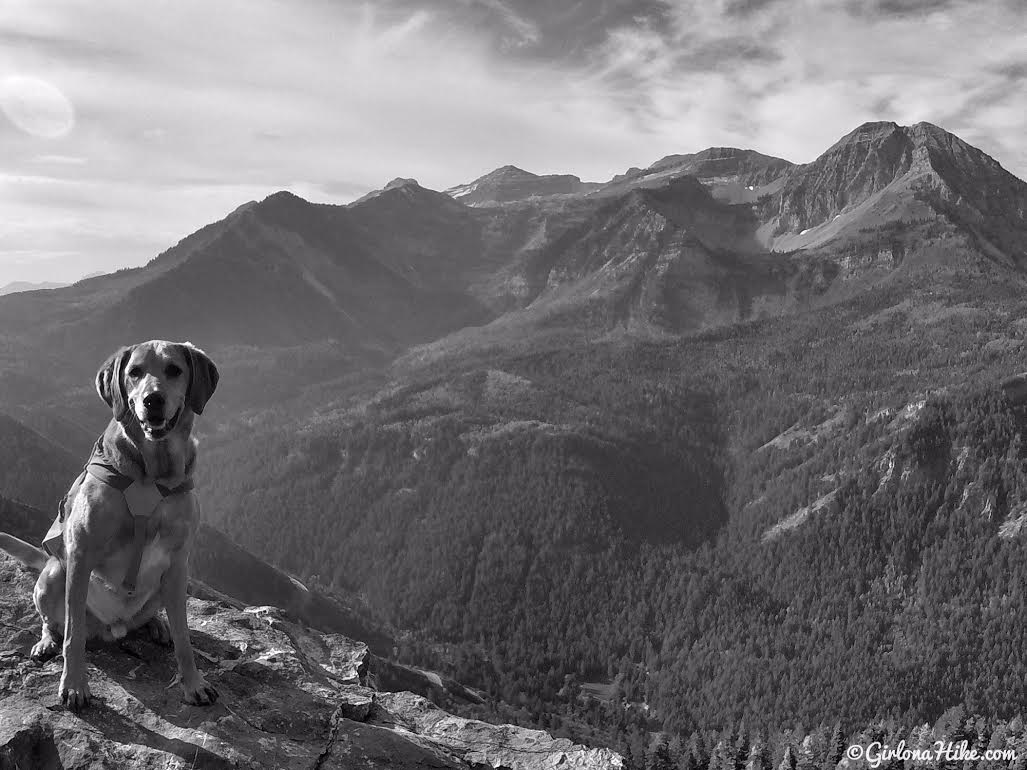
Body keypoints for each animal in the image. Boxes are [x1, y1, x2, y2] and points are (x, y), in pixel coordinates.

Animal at [0, 340, 218, 714]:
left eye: (174, 370)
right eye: (135, 372)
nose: (152, 399)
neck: (151, 473)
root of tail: (114, 628)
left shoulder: (179, 563)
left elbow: (185, 638)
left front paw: (193, 683)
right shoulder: (81, 553)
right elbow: (73, 635)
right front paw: (74, 685)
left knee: (155, 615)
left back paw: (157, 624)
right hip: (55, 573)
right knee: (53, 623)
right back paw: (46, 642)